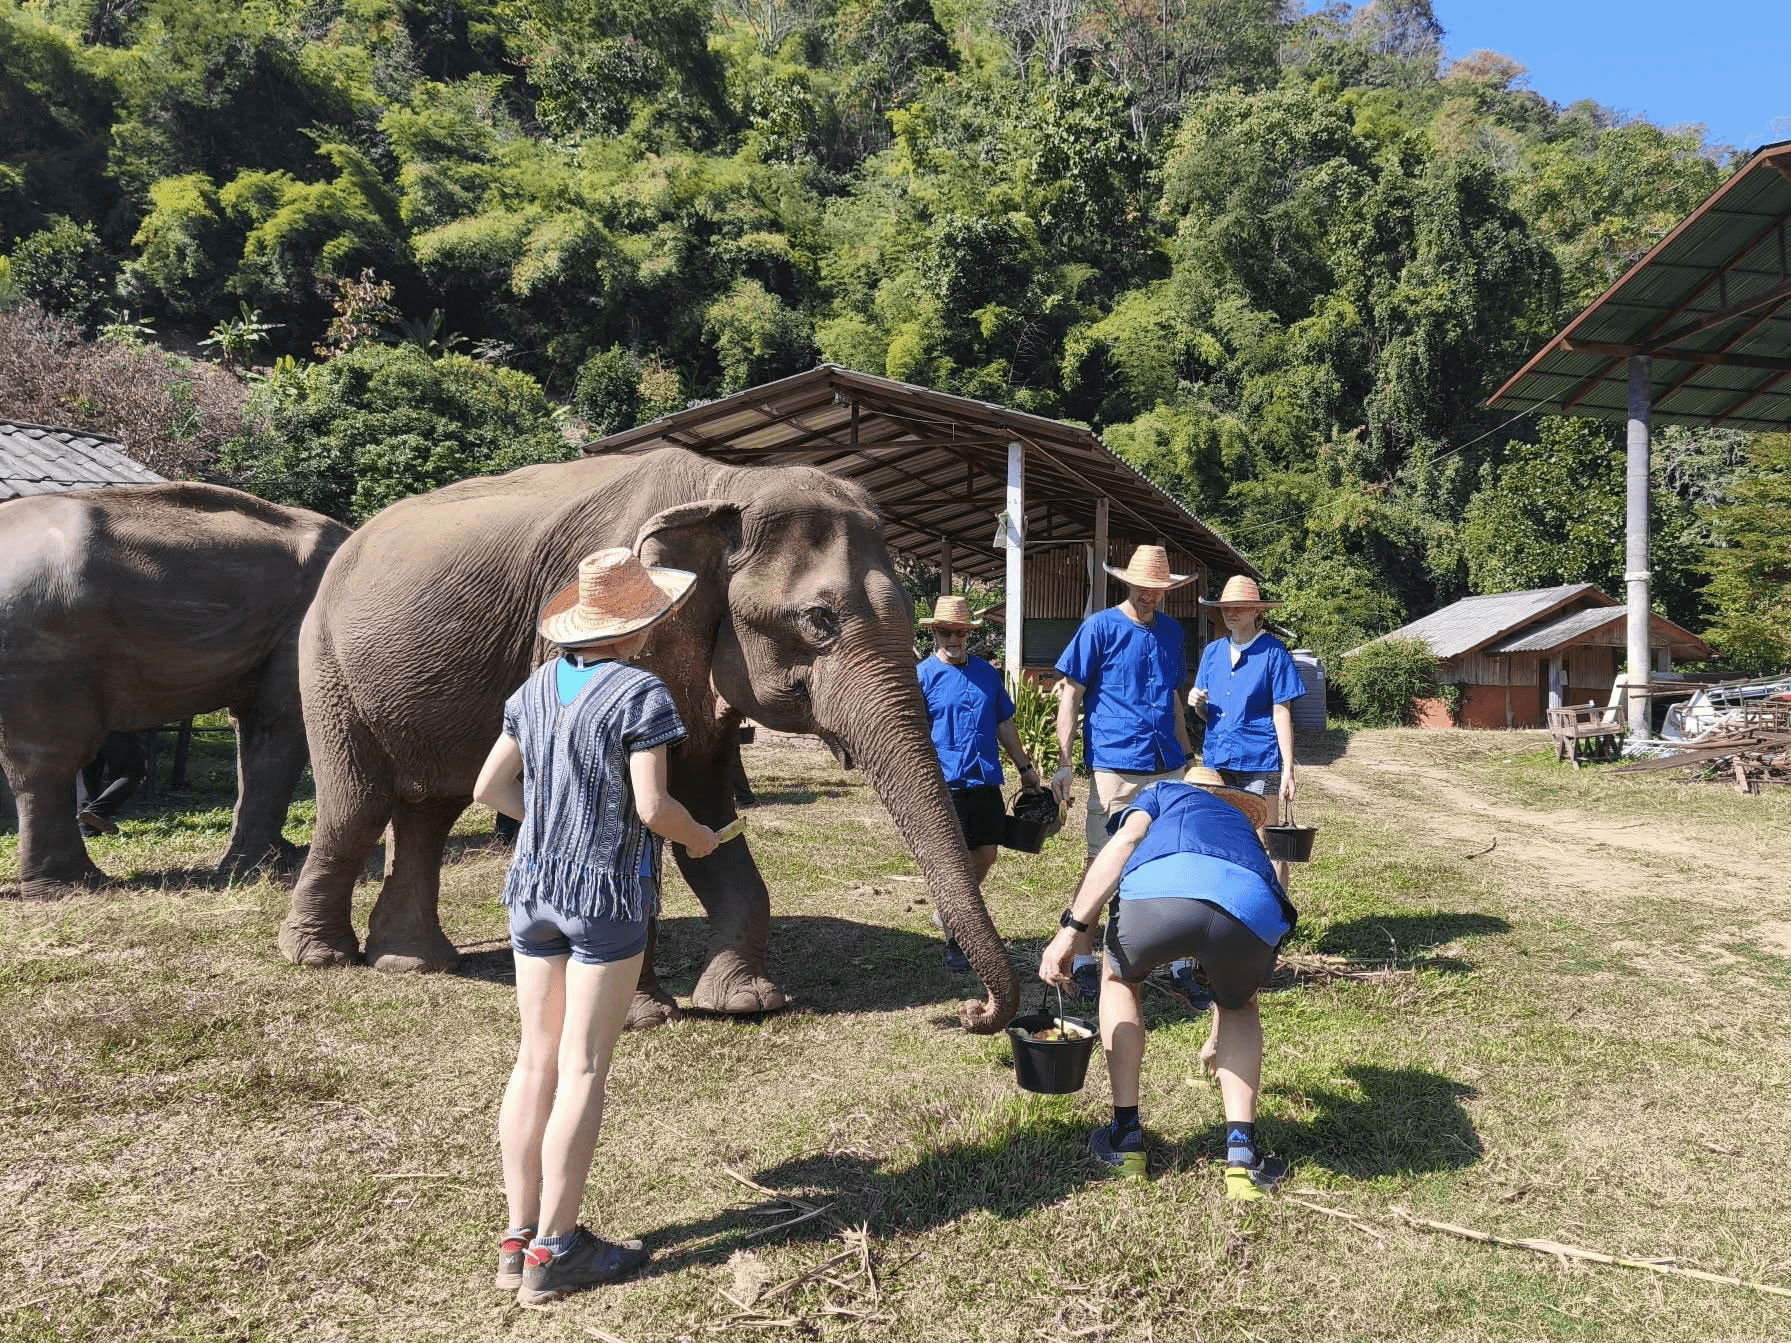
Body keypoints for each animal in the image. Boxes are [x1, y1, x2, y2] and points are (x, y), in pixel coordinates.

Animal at [0, 483, 351, 898]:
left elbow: (251, 724)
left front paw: (275, 859)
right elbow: (279, 720)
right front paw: (263, 868)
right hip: (44, 654)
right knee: (50, 759)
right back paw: (75, 886)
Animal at [277, 447, 1018, 1032]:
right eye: (819, 620)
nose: (971, 1012)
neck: (726, 486)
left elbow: (700, 802)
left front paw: (747, 1003)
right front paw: (639, 1016)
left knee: (429, 807)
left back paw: (412, 964)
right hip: (324, 666)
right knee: (359, 805)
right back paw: (320, 957)